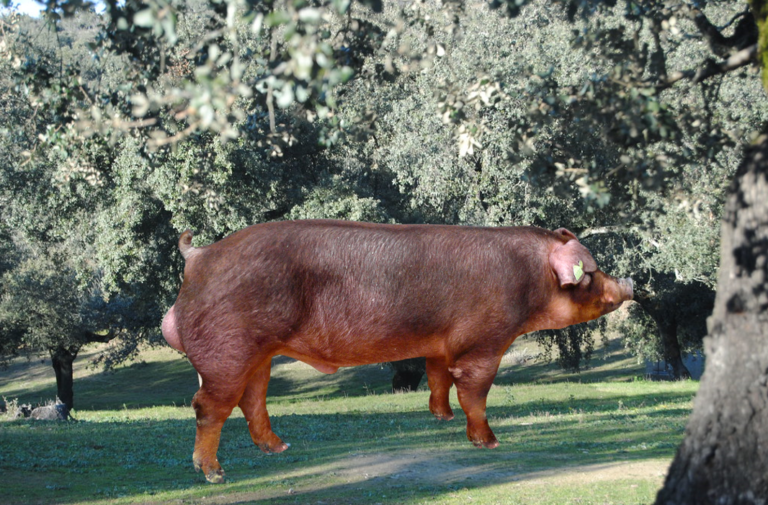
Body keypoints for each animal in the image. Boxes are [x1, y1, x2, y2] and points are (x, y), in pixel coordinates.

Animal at [160, 220, 632, 480]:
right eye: (592, 271)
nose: (628, 281)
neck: (529, 280)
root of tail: (198, 256)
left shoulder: (441, 345)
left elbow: (439, 377)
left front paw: (440, 419)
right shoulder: (484, 341)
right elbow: (474, 390)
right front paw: (490, 444)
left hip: (258, 354)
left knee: (251, 400)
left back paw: (280, 449)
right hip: (227, 349)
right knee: (208, 406)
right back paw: (214, 474)